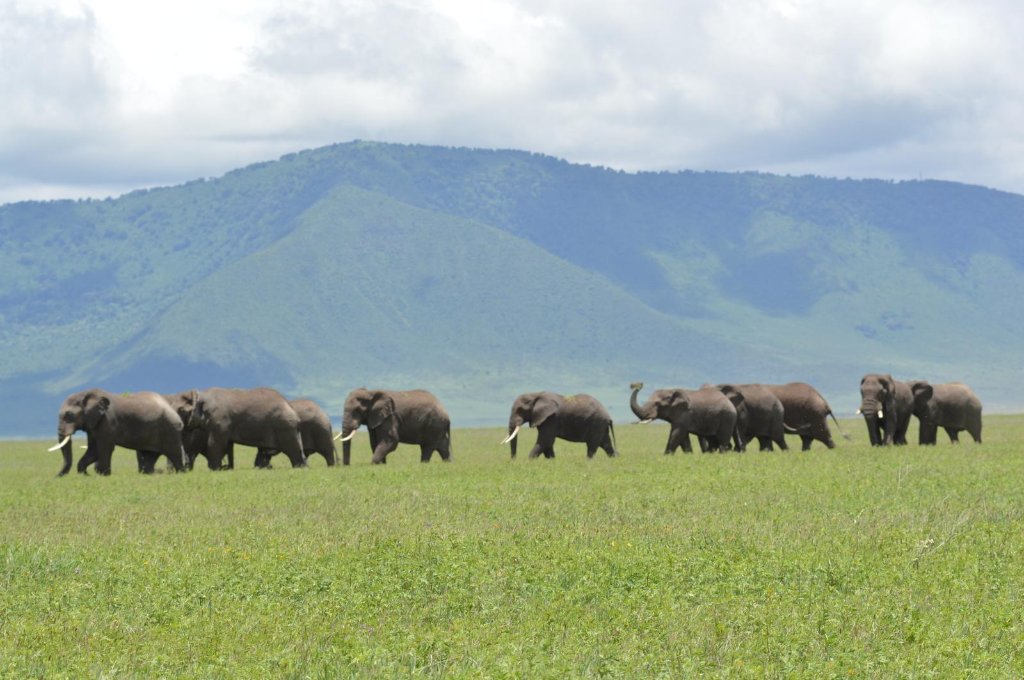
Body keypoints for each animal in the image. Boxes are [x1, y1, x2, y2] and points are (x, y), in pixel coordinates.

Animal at [50, 388, 187, 476]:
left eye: (69, 415)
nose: (57, 476)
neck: (86, 394)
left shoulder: (107, 421)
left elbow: (104, 448)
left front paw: (103, 476)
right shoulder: (94, 424)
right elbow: (93, 449)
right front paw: (84, 474)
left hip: (170, 430)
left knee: (174, 455)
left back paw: (180, 473)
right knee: (149, 457)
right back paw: (147, 474)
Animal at [165, 387, 306, 470]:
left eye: (181, 410)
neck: (200, 395)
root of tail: (290, 407)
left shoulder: (220, 421)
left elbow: (215, 443)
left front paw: (215, 469)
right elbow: (228, 445)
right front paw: (227, 468)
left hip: (285, 427)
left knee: (293, 451)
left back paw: (299, 468)